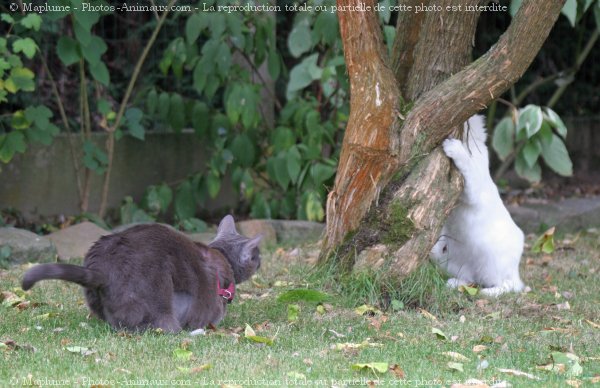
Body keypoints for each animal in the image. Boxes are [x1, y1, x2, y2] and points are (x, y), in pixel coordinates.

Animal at [432, 115, 524, 298]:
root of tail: (514, 271)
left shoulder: (471, 188)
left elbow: (466, 165)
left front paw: (452, 147)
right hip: (446, 260)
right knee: (469, 278)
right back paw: (453, 283)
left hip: (492, 263)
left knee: (508, 285)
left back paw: (488, 293)